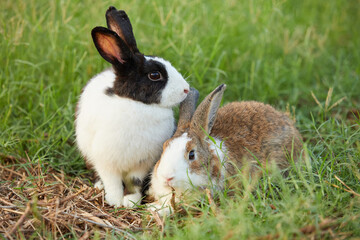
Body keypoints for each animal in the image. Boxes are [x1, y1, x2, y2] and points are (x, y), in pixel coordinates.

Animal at [75, 6, 190, 207]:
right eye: (155, 75)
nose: (186, 89)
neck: (138, 104)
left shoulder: (142, 164)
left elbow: (134, 182)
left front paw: (131, 201)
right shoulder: (106, 161)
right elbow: (112, 181)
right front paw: (114, 201)